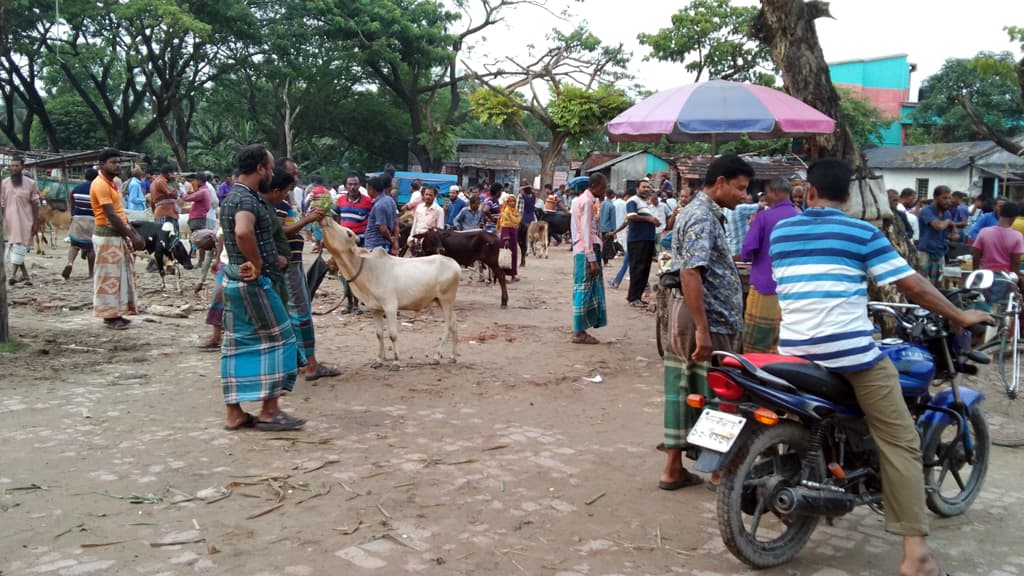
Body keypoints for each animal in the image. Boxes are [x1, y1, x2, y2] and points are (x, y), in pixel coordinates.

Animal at [323, 217, 460, 368]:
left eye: (348, 233)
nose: (327, 219)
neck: (367, 269)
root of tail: (454, 264)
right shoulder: (375, 309)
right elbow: (379, 334)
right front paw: (379, 360)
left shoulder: (390, 307)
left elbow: (392, 335)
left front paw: (396, 361)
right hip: (441, 300)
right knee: (454, 323)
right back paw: (453, 356)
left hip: (446, 299)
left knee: (448, 325)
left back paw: (437, 356)